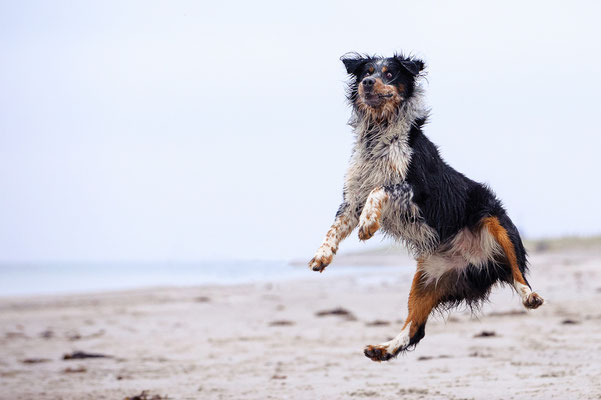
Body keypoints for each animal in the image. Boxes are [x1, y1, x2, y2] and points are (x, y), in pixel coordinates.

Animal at [310, 52, 544, 362]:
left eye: (389, 74)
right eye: (366, 72)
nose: (368, 83)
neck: (379, 133)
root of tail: (479, 261)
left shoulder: (414, 188)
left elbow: (380, 189)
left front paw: (368, 224)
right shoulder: (352, 198)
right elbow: (334, 228)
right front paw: (322, 256)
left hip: (497, 224)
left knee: (519, 273)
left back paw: (530, 296)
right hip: (426, 279)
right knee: (415, 327)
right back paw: (382, 349)